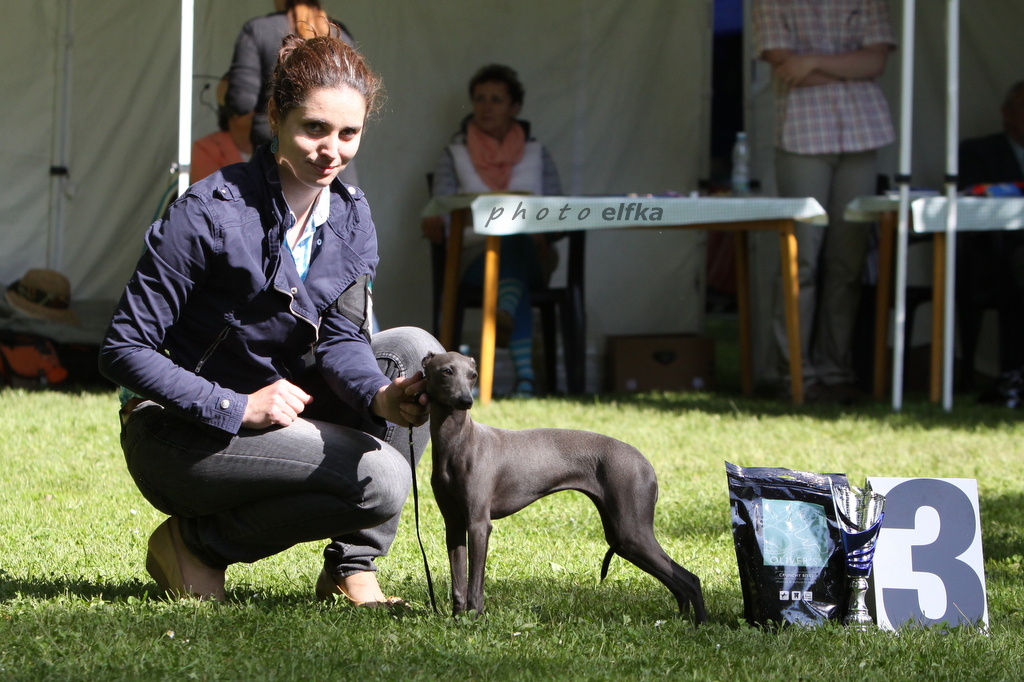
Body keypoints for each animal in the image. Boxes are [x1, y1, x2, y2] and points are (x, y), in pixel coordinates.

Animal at [421, 350, 704, 622]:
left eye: (473, 375)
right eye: (446, 371)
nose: (466, 401)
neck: (458, 442)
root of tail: (646, 463)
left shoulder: (479, 524)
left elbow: (475, 583)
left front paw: (474, 618)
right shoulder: (454, 524)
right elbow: (458, 581)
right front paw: (458, 619)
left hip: (631, 532)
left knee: (690, 579)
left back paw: (700, 624)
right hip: (622, 537)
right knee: (676, 582)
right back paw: (683, 620)